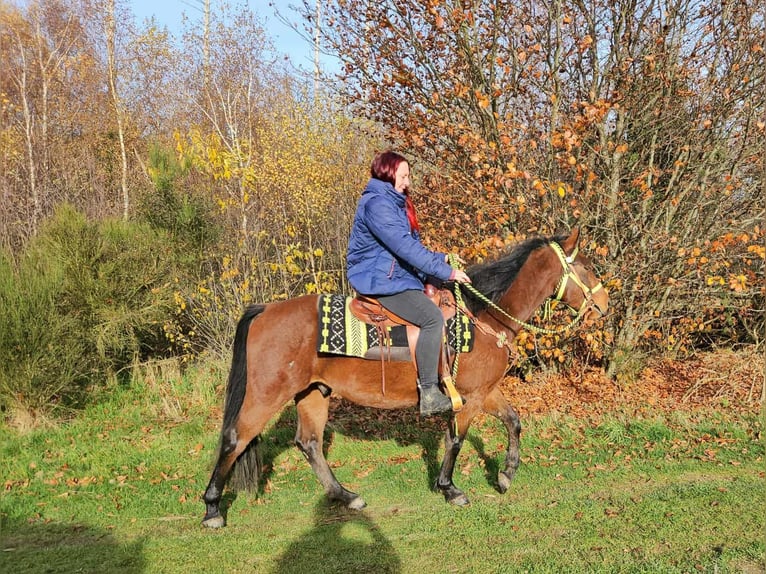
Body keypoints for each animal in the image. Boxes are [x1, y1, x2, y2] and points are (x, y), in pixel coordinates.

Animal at [201, 228, 608, 527]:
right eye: (586, 267)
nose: (604, 305)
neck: (483, 316)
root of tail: (264, 310)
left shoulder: (485, 392)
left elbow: (513, 421)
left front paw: (506, 474)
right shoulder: (471, 397)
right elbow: (456, 441)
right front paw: (450, 489)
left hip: (313, 392)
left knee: (309, 444)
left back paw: (346, 496)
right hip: (266, 394)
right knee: (235, 439)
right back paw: (212, 509)